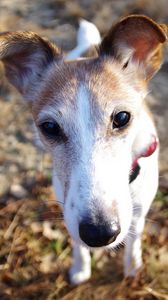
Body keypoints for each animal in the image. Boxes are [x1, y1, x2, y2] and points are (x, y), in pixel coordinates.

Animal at [0, 14, 167, 286]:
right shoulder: (67, 205)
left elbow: (133, 241)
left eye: (122, 117)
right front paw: (81, 269)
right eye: (49, 127)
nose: (99, 233)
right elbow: (77, 244)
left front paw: (132, 268)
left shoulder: (140, 210)